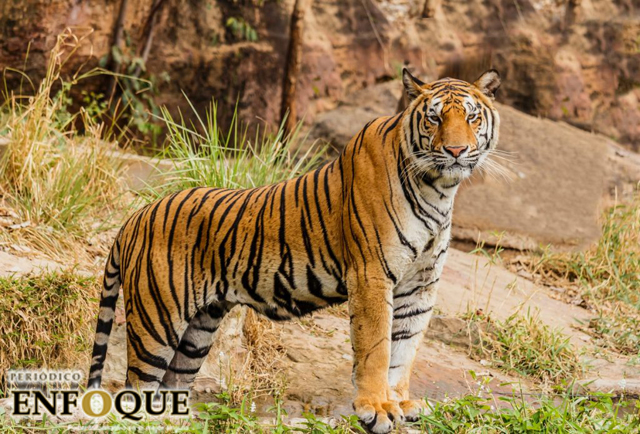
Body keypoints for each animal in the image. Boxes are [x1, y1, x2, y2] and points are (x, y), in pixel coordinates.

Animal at [88, 68, 501, 433]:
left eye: (471, 116)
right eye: (434, 118)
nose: (456, 150)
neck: (439, 189)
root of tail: (136, 216)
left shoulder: (420, 285)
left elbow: (405, 350)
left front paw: (399, 402)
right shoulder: (371, 274)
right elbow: (377, 348)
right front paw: (377, 409)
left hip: (197, 332)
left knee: (171, 388)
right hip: (156, 322)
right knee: (135, 389)